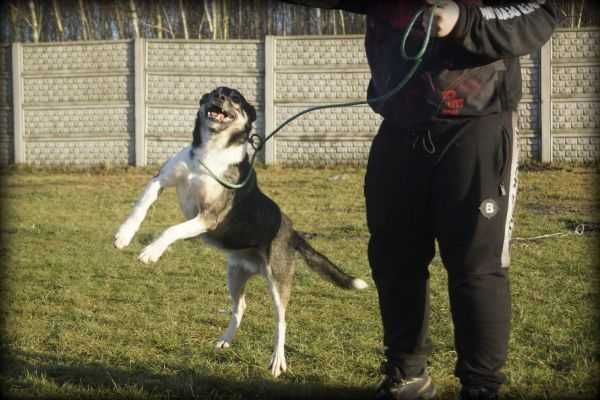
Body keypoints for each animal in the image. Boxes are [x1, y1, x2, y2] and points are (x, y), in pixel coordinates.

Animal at [112, 86, 366, 376]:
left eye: (235, 99)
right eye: (214, 92)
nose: (219, 98)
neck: (210, 152)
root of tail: (292, 232)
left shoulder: (208, 216)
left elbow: (172, 229)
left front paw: (151, 252)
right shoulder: (161, 180)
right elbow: (140, 207)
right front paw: (124, 235)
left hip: (277, 280)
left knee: (281, 320)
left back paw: (277, 360)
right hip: (234, 275)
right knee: (240, 307)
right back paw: (225, 339)